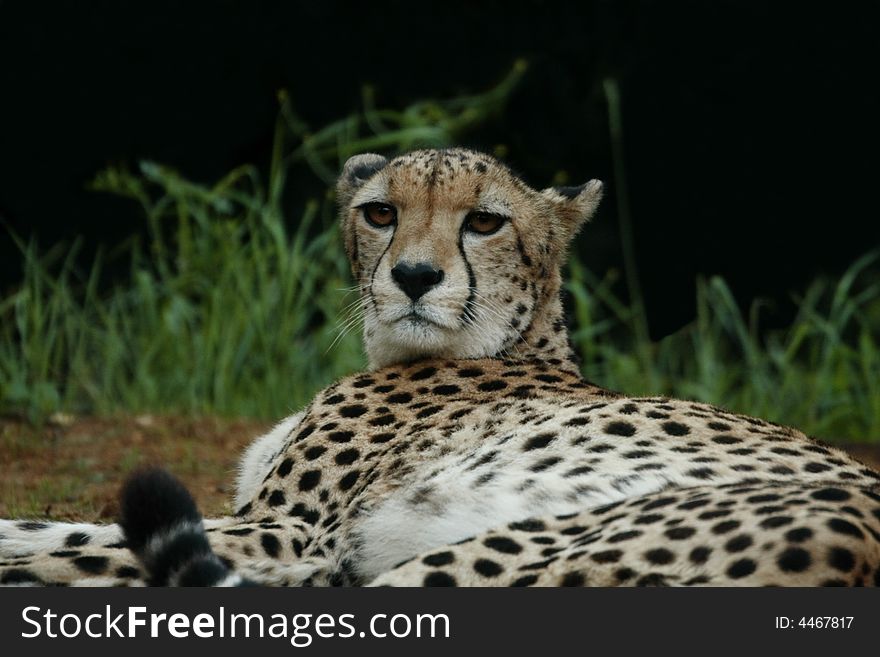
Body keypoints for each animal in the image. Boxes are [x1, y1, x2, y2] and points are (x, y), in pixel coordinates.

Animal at [1, 149, 880, 584]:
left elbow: (77, 548)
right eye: (380, 212)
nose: (415, 276)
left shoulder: (287, 530)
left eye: (484, 223)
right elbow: (57, 526)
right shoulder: (262, 524)